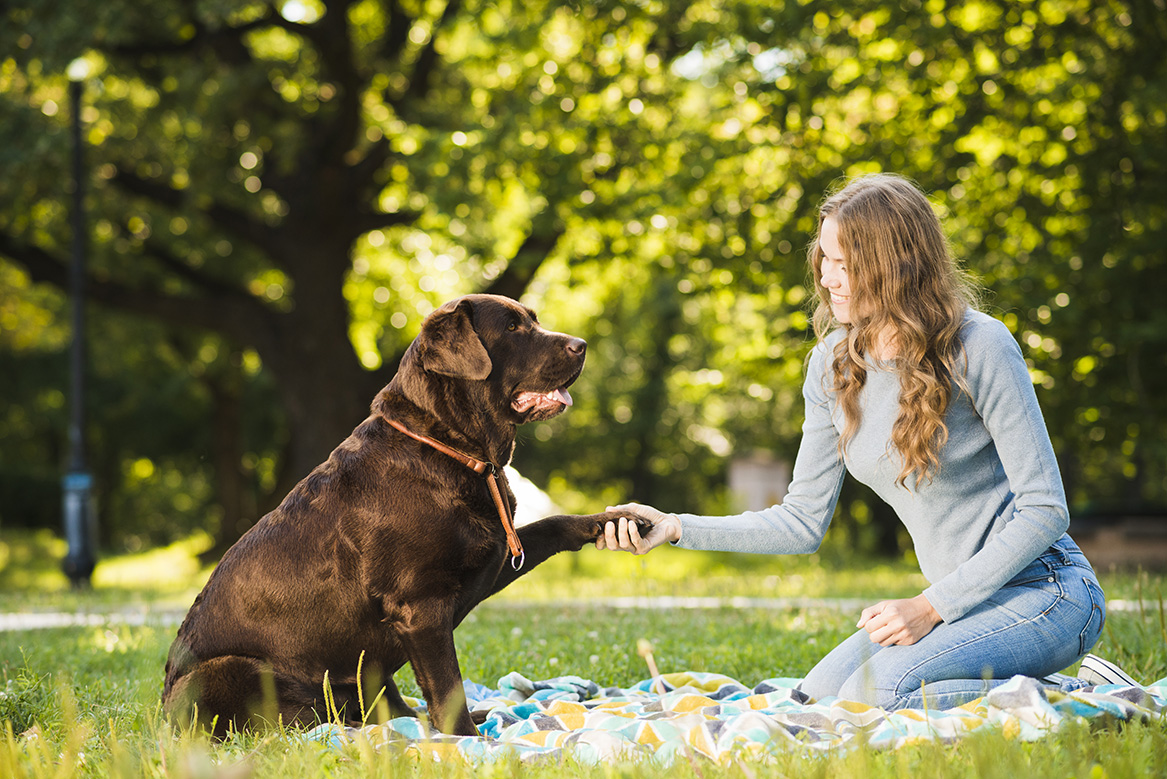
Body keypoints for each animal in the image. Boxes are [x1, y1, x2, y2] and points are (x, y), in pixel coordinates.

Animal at [161, 291, 634, 737]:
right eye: (513, 328)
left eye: (533, 320)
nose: (582, 345)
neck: (453, 448)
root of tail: (162, 718)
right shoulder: (421, 605)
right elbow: (448, 687)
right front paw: (471, 742)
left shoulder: (491, 556)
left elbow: (551, 525)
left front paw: (610, 522)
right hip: (224, 672)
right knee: (303, 721)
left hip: (366, 668)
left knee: (387, 708)